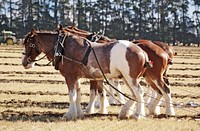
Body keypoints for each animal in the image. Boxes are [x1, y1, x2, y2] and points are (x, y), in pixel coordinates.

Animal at [21, 29, 150, 119]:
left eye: (28, 44)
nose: (24, 62)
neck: (62, 48)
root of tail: (142, 51)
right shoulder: (76, 77)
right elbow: (78, 95)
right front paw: (79, 113)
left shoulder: (70, 77)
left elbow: (72, 95)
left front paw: (69, 114)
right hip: (126, 78)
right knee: (134, 94)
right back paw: (126, 111)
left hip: (130, 78)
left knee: (138, 92)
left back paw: (138, 115)